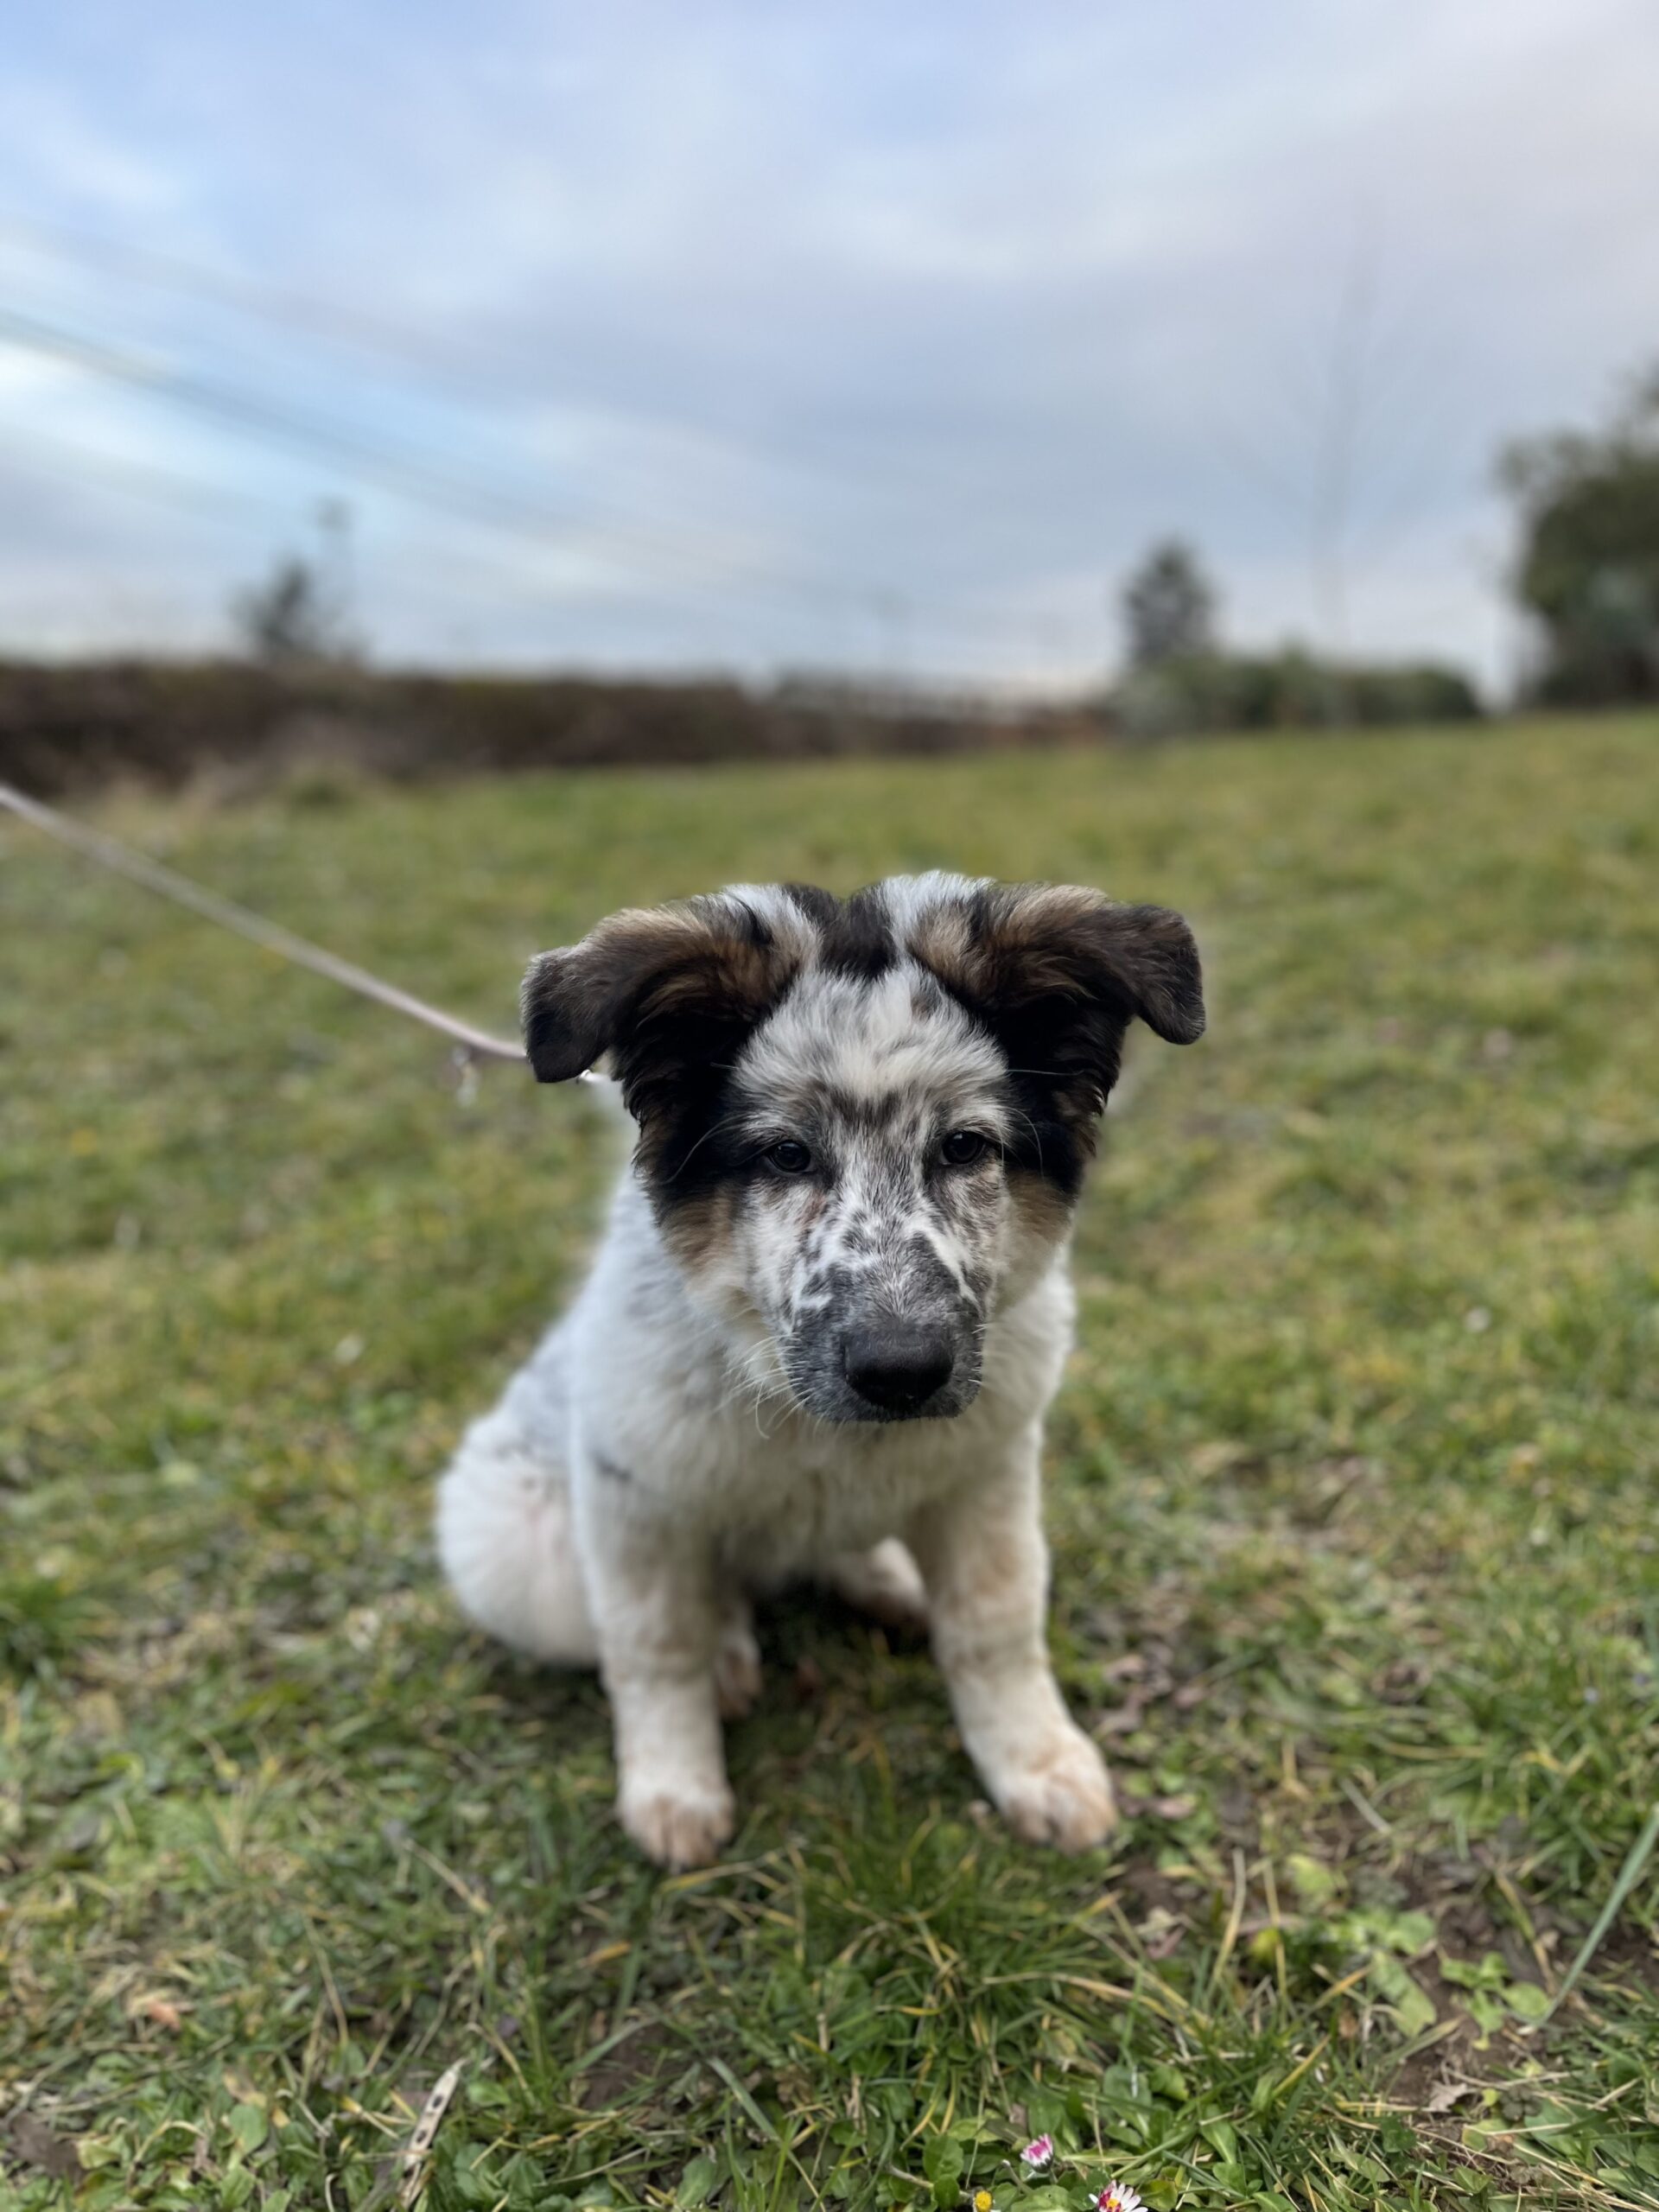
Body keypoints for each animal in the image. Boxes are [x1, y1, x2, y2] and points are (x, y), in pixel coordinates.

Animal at [437, 873, 1203, 1869]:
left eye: (965, 1147)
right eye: (787, 1155)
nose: (902, 1372)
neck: (819, 1425)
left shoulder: (990, 1475)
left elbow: (994, 1623)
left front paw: (1036, 1765)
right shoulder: (631, 1494)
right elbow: (656, 1645)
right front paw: (674, 1789)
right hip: (519, 1553)